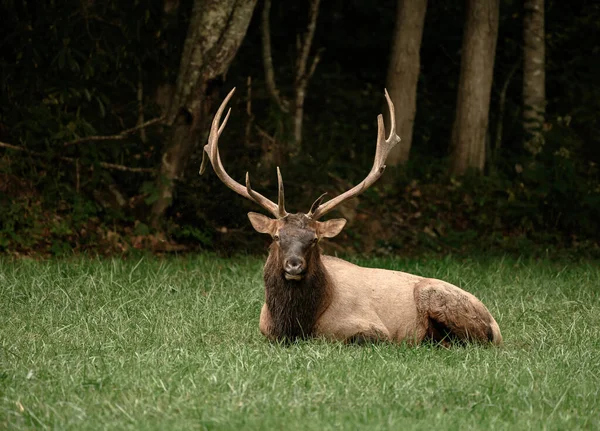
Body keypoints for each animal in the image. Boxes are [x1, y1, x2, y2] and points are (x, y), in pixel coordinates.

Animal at [202, 88, 502, 348]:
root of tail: (496, 326)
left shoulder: (372, 329)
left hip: (440, 299)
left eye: (314, 239)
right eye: (276, 237)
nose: (294, 265)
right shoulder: (265, 330)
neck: (296, 325)